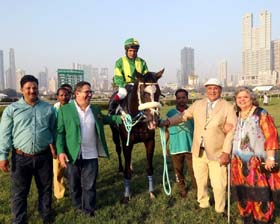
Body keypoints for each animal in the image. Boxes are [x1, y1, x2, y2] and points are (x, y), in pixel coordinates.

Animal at [108, 68, 163, 203]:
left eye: (159, 93)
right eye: (143, 93)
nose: (154, 121)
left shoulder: (150, 141)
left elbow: (150, 168)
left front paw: (152, 192)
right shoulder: (126, 142)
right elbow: (127, 172)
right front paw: (127, 196)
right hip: (115, 134)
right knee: (118, 150)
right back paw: (121, 167)